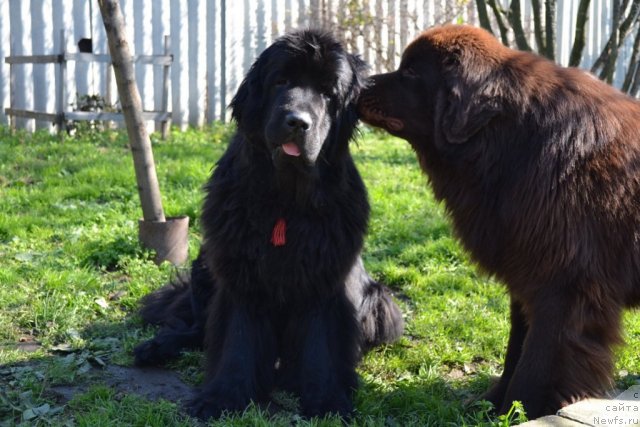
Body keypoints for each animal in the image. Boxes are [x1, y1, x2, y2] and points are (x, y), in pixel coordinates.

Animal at [134, 30, 402, 422]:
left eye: (328, 93)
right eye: (281, 82)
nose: (298, 122)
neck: (285, 200)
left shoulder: (325, 280)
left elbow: (321, 346)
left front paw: (326, 401)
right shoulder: (240, 274)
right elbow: (237, 339)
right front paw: (222, 397)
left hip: (381, 301)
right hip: (205, 264)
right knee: (198, 329)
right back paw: (157, 346)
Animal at [358, 23, 640, 418]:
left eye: (411, 72)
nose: (357, 85)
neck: (508, 141)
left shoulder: (563, 284)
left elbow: (539, 358)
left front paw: (524, 409)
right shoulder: (525, 270)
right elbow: (516, 346)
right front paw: (494, 405)